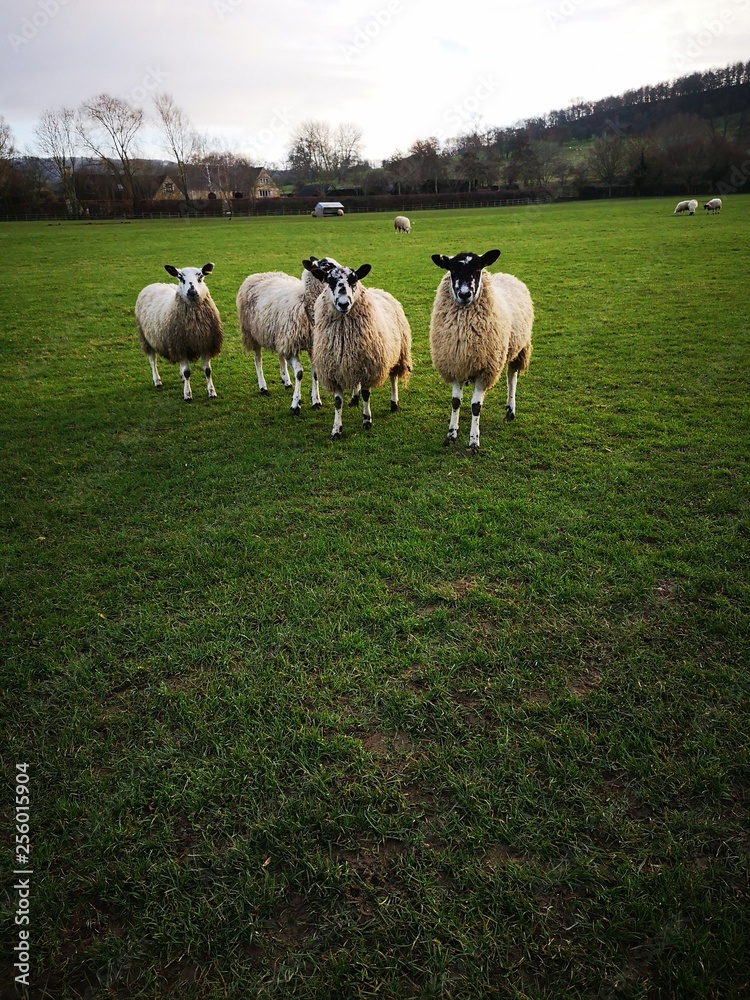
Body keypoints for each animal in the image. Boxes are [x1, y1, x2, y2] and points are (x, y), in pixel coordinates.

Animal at [135, 263, 223, 402]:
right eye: (180, 277)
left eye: (200, 276)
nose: (192, 292)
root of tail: (154, 284)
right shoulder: (181, 347)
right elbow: (187, 372)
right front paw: (187, 394)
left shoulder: (205, 344)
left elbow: (208, 370)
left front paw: (211, 392)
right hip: (146, 337)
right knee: (152, 360)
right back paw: (157, 380)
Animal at [236, 257, 339, 414]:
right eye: (326, 265)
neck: (306, 305)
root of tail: (259, 274)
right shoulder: (291, 345)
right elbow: (300, 373)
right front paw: (295, 404)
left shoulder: (310, 346)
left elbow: (315, 373)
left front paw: (316, 401)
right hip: (252, 332)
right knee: (258, 359)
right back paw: (263, 386)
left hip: (279, 335)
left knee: (280, 356)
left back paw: (287, 381)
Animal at [308, 261, 412, 440]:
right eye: (329, 280)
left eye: (354, 279)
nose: (344, 304)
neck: (345, 337)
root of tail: (380, 290)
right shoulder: (335, 371)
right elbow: (338, 402)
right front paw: (336, 429)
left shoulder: (367, 368)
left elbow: (366, 395)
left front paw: (367, 421)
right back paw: (354, 398)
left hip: (398, 353)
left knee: (393, 378)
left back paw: (394, 403)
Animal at [429, 249, 533, 453]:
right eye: (452, 269)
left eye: (478, 269)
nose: (464, 294)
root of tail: (507, 275)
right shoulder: (456, 365)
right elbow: (456, 402)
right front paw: (451, 435)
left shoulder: (484, 370)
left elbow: (476, 407)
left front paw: (474, 442)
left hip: (517, 349)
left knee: (512, 378)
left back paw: (510, 411)